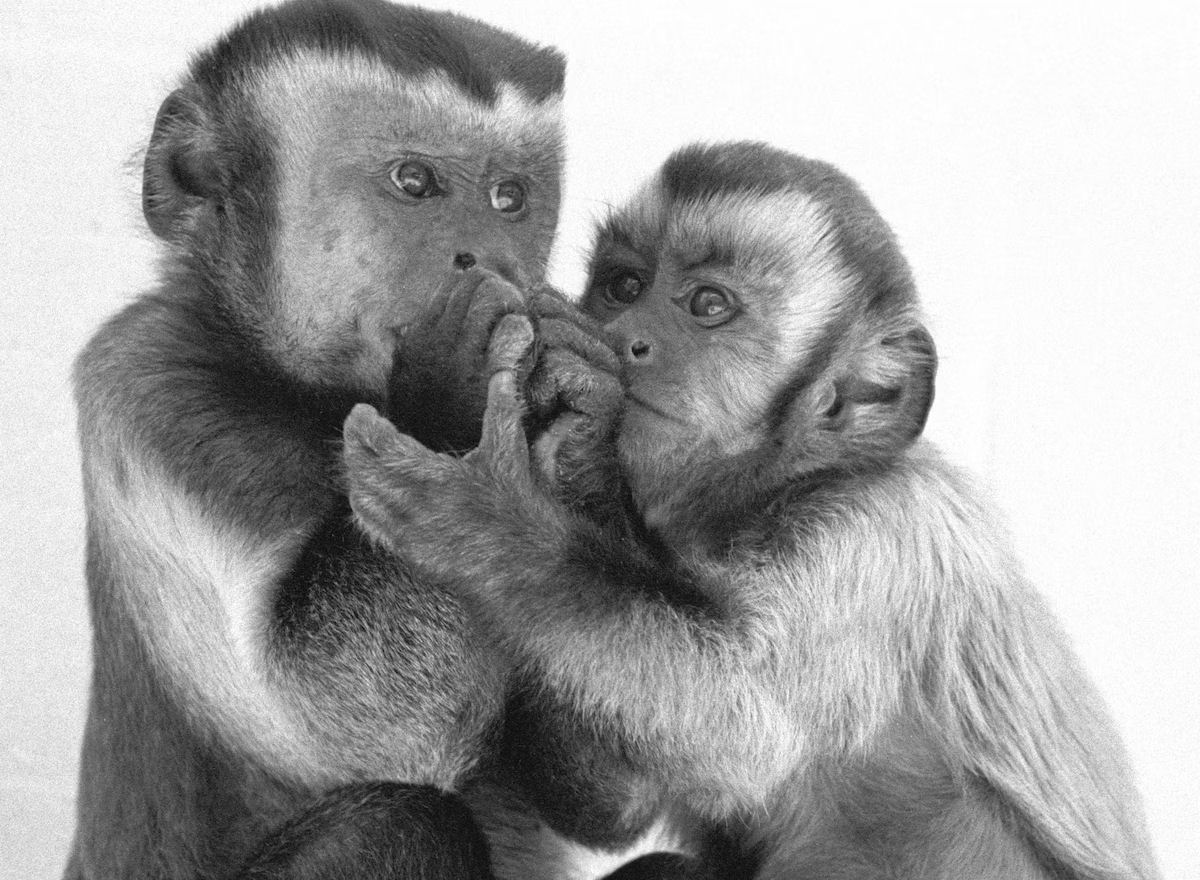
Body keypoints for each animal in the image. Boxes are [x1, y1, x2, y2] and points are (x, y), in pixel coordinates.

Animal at [60, 1, 631, 876]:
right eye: (414, 184)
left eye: (508, 197)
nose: (493, 256)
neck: (314, 400)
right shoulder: (150, 392)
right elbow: (351, 723)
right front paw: (454, 394)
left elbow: (596, 802)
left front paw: (584, 417)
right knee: (398, 822)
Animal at [341, 141, 1162, 880]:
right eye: (623, 286)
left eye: (709, 307)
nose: (628, 340)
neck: (763, 500)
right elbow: (617, 805)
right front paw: (576, 429)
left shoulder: (876, 530)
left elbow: (744, 729)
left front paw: (490, 515)